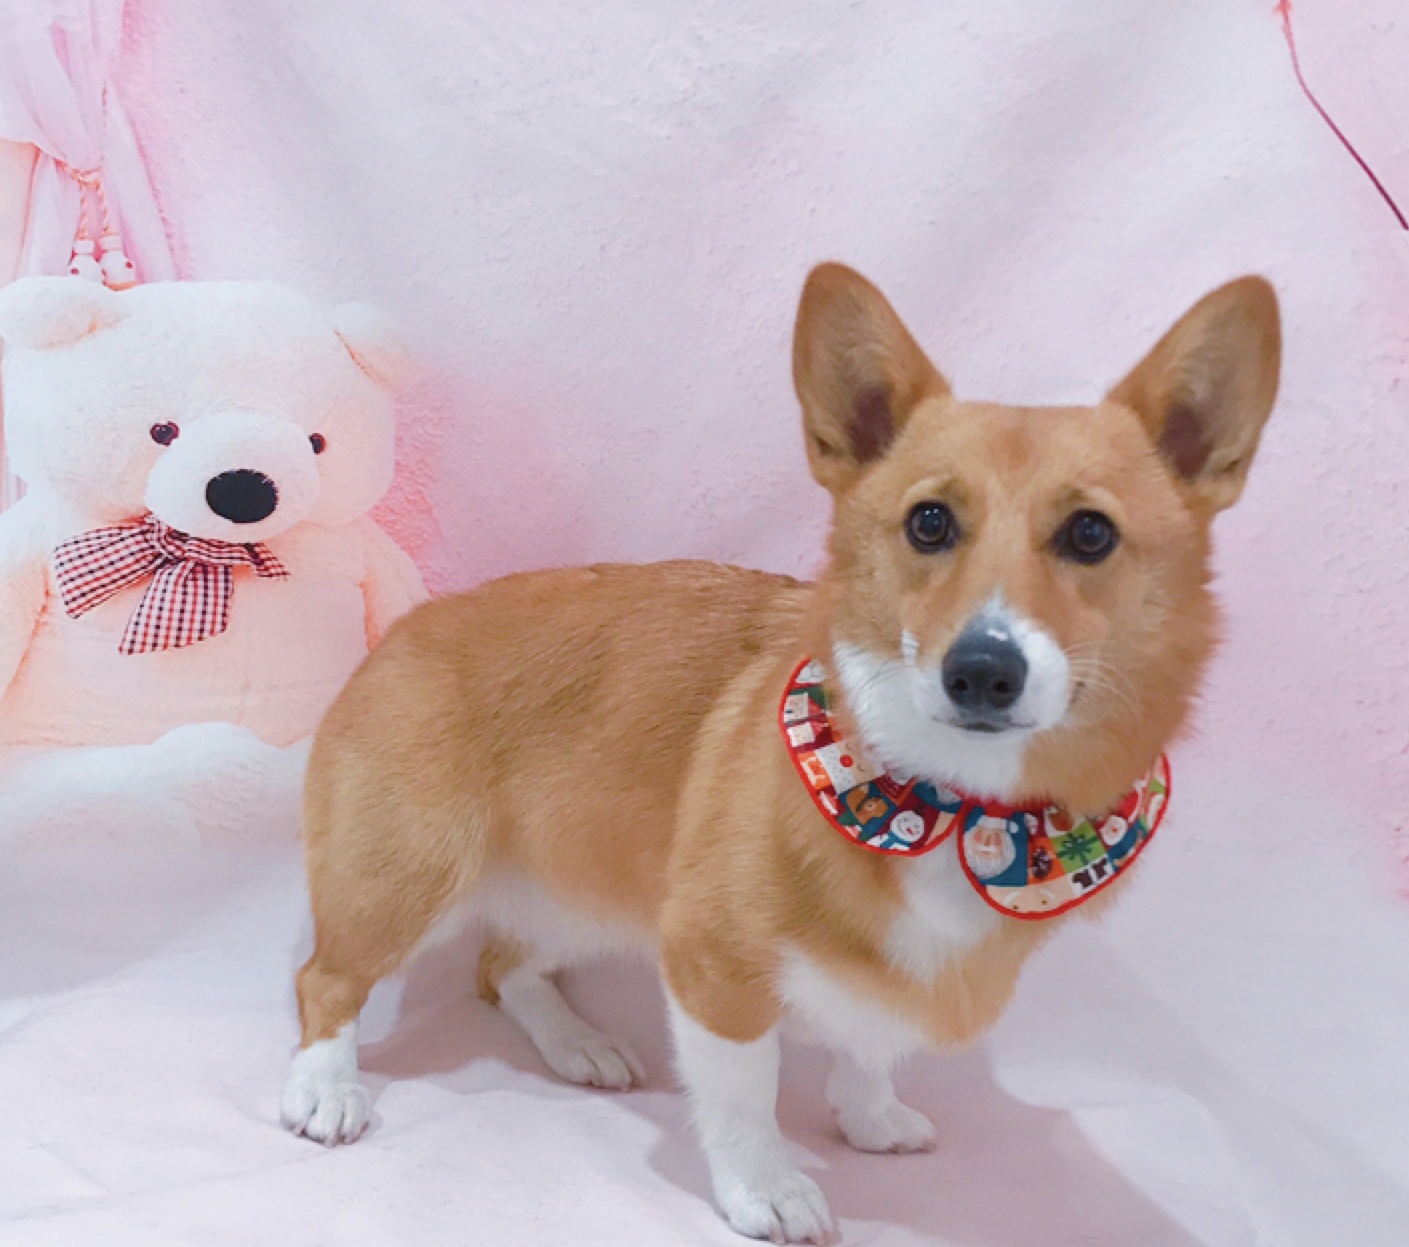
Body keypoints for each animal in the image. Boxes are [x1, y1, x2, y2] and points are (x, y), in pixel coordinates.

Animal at [280, 262, 1280, 1243]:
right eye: (928, 522)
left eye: (1090, 533)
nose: (982, 671)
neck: (956, 804)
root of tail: (407, 625)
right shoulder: (710, 967)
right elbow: (744, 1097)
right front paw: (766, 1190)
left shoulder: (869, 975)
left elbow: (870, 1049)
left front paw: (870, 1119)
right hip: (405, 879)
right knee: (327, 980)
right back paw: (327, 1087)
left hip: (581, 890)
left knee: (500, 967)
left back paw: (577, 1042)